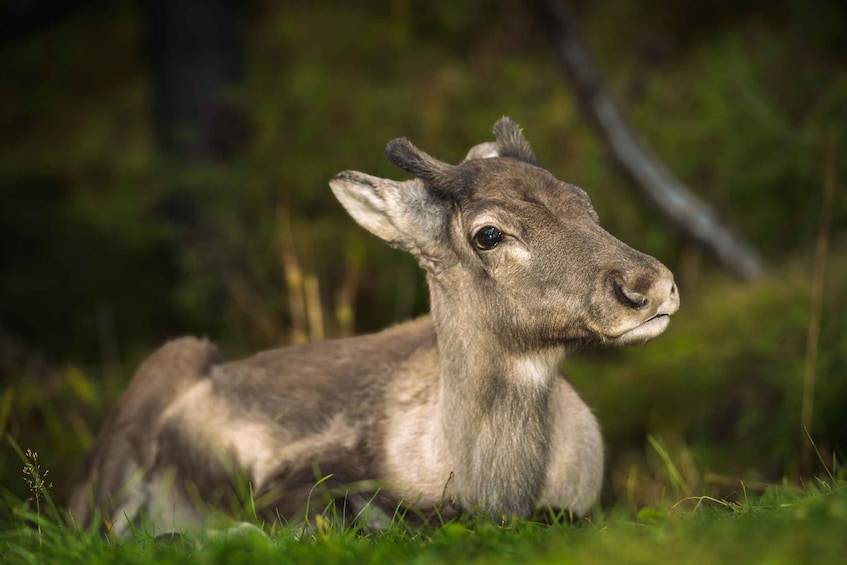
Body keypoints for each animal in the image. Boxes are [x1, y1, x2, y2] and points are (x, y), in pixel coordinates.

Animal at [69, 118, 679, 536]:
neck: (494, 489)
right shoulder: (293, 475)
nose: (650, 286)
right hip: (146, 399)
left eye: (583, 201)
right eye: (488, 234)